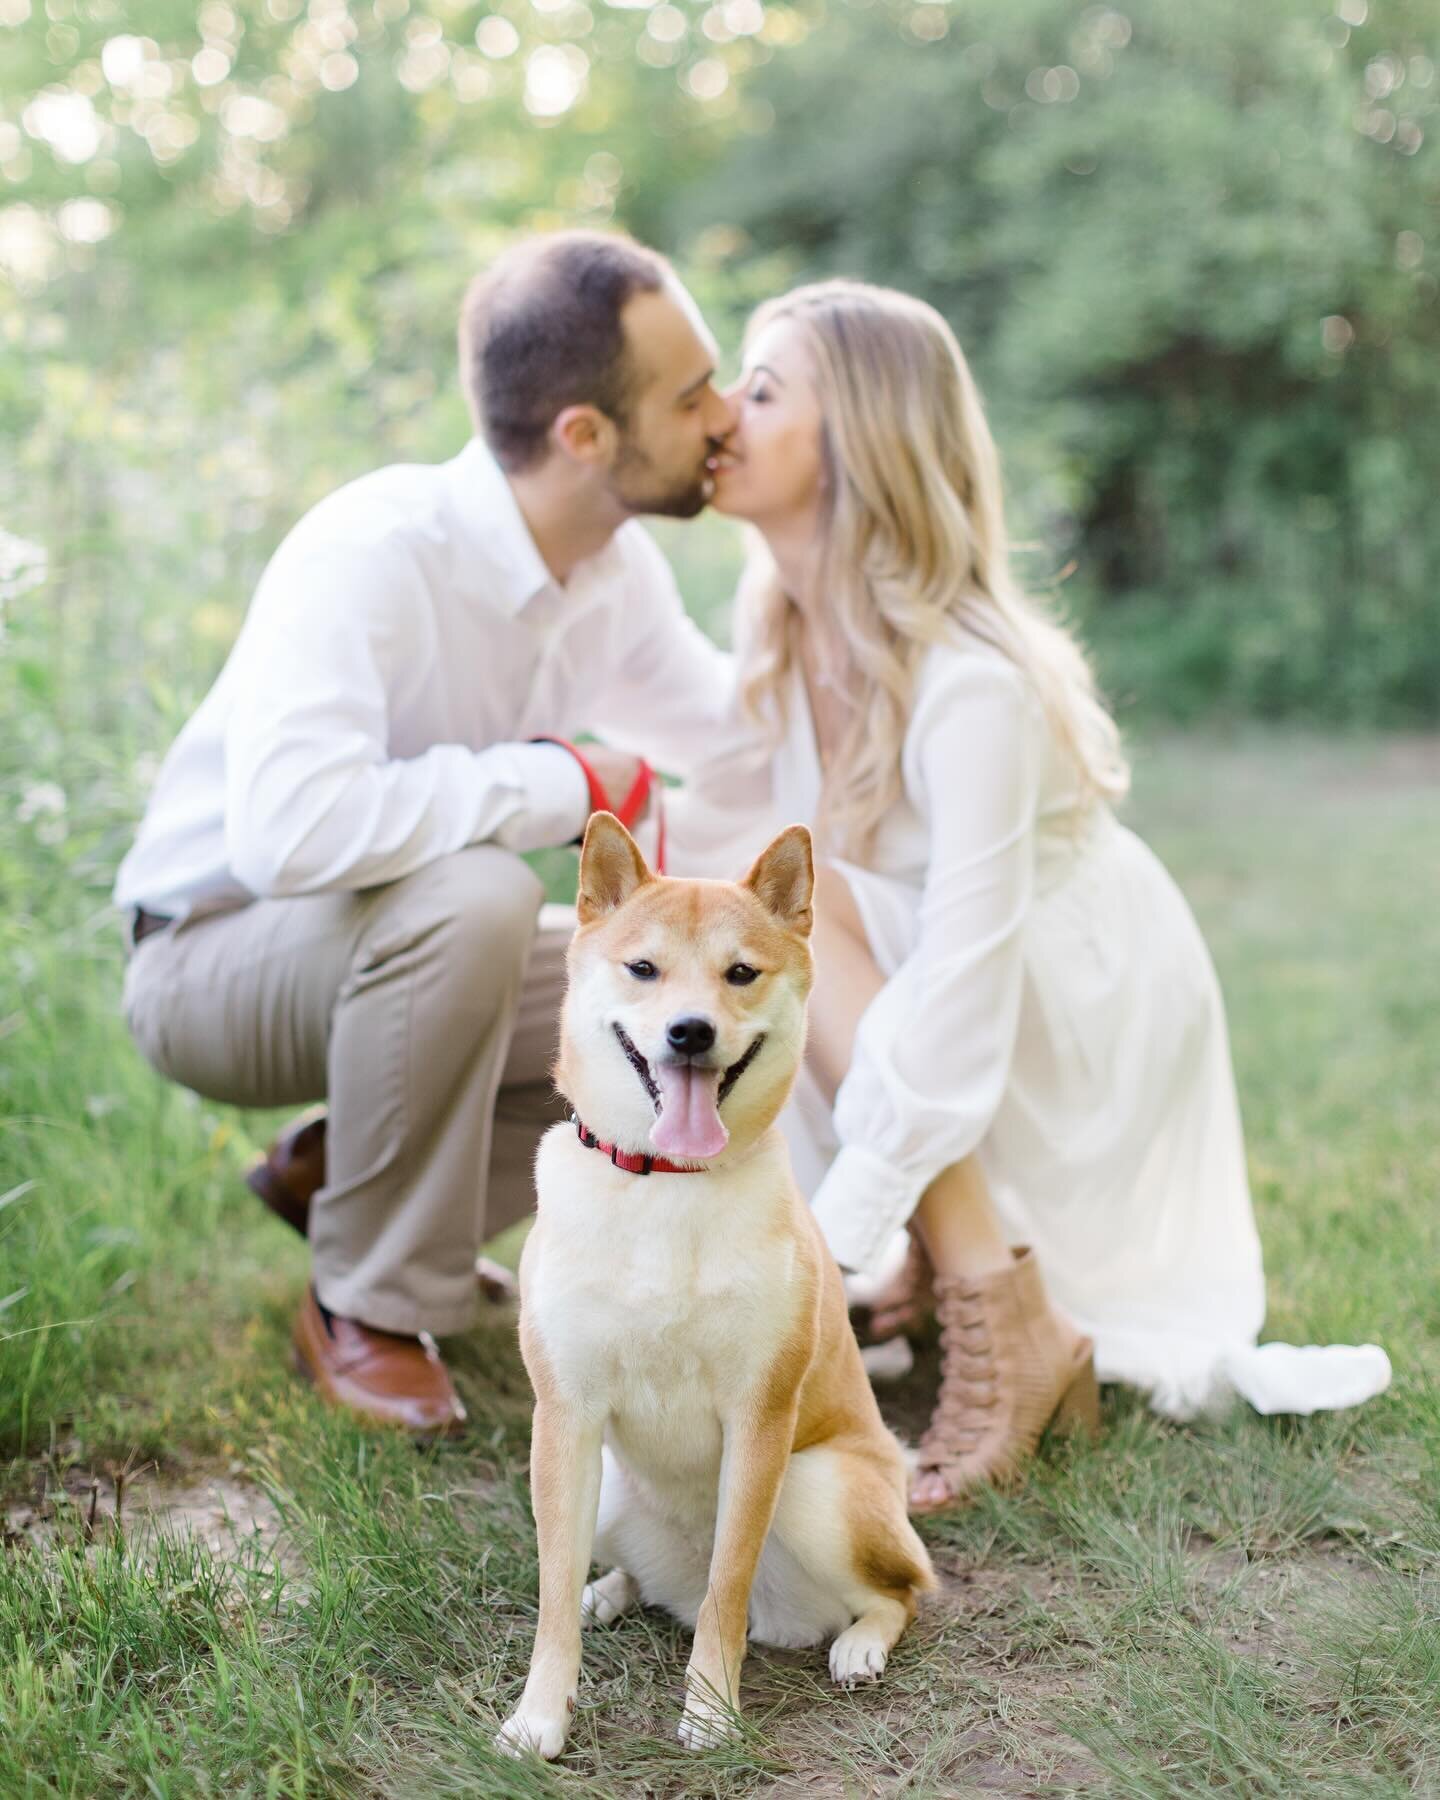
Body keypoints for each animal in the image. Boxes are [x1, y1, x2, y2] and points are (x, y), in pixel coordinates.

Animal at [496, 813, 936, 1756]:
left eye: (741, 973)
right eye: (643, 969)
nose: (690, 1032)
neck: (668, 1179)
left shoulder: (759, 1418)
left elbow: (722, 1593)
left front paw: (709, 1710)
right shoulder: (566, 1418)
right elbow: (551, 1595)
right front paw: (539, 1716)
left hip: (819, 1489)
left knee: (901, 1592)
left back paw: (860, 1647)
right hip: (611, 1482)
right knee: (631, 1576)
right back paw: (611, 1591)